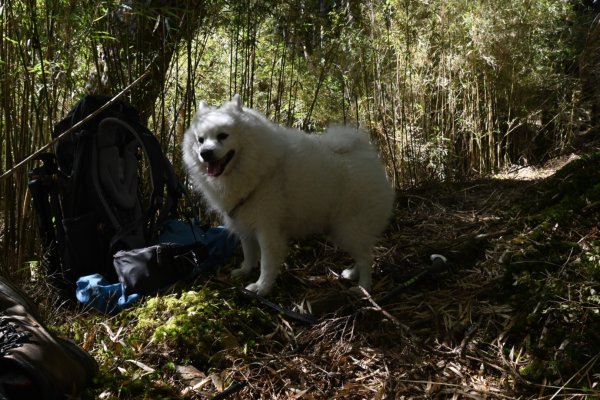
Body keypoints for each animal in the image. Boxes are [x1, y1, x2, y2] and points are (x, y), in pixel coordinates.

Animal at [182, 93, 394, 294]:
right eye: (200, 140)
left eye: (223, 136)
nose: (205, 153)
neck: (254, 166)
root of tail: (365, 152)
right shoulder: (244, 223)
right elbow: (248, 252)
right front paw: (245, 271)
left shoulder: (267, 229)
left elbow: (267, 263)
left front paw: (261, 287)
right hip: (340, 229)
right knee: (363, 253)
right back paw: (352, 274)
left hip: (349, 227)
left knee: (366, 258)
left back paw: (364, 288)